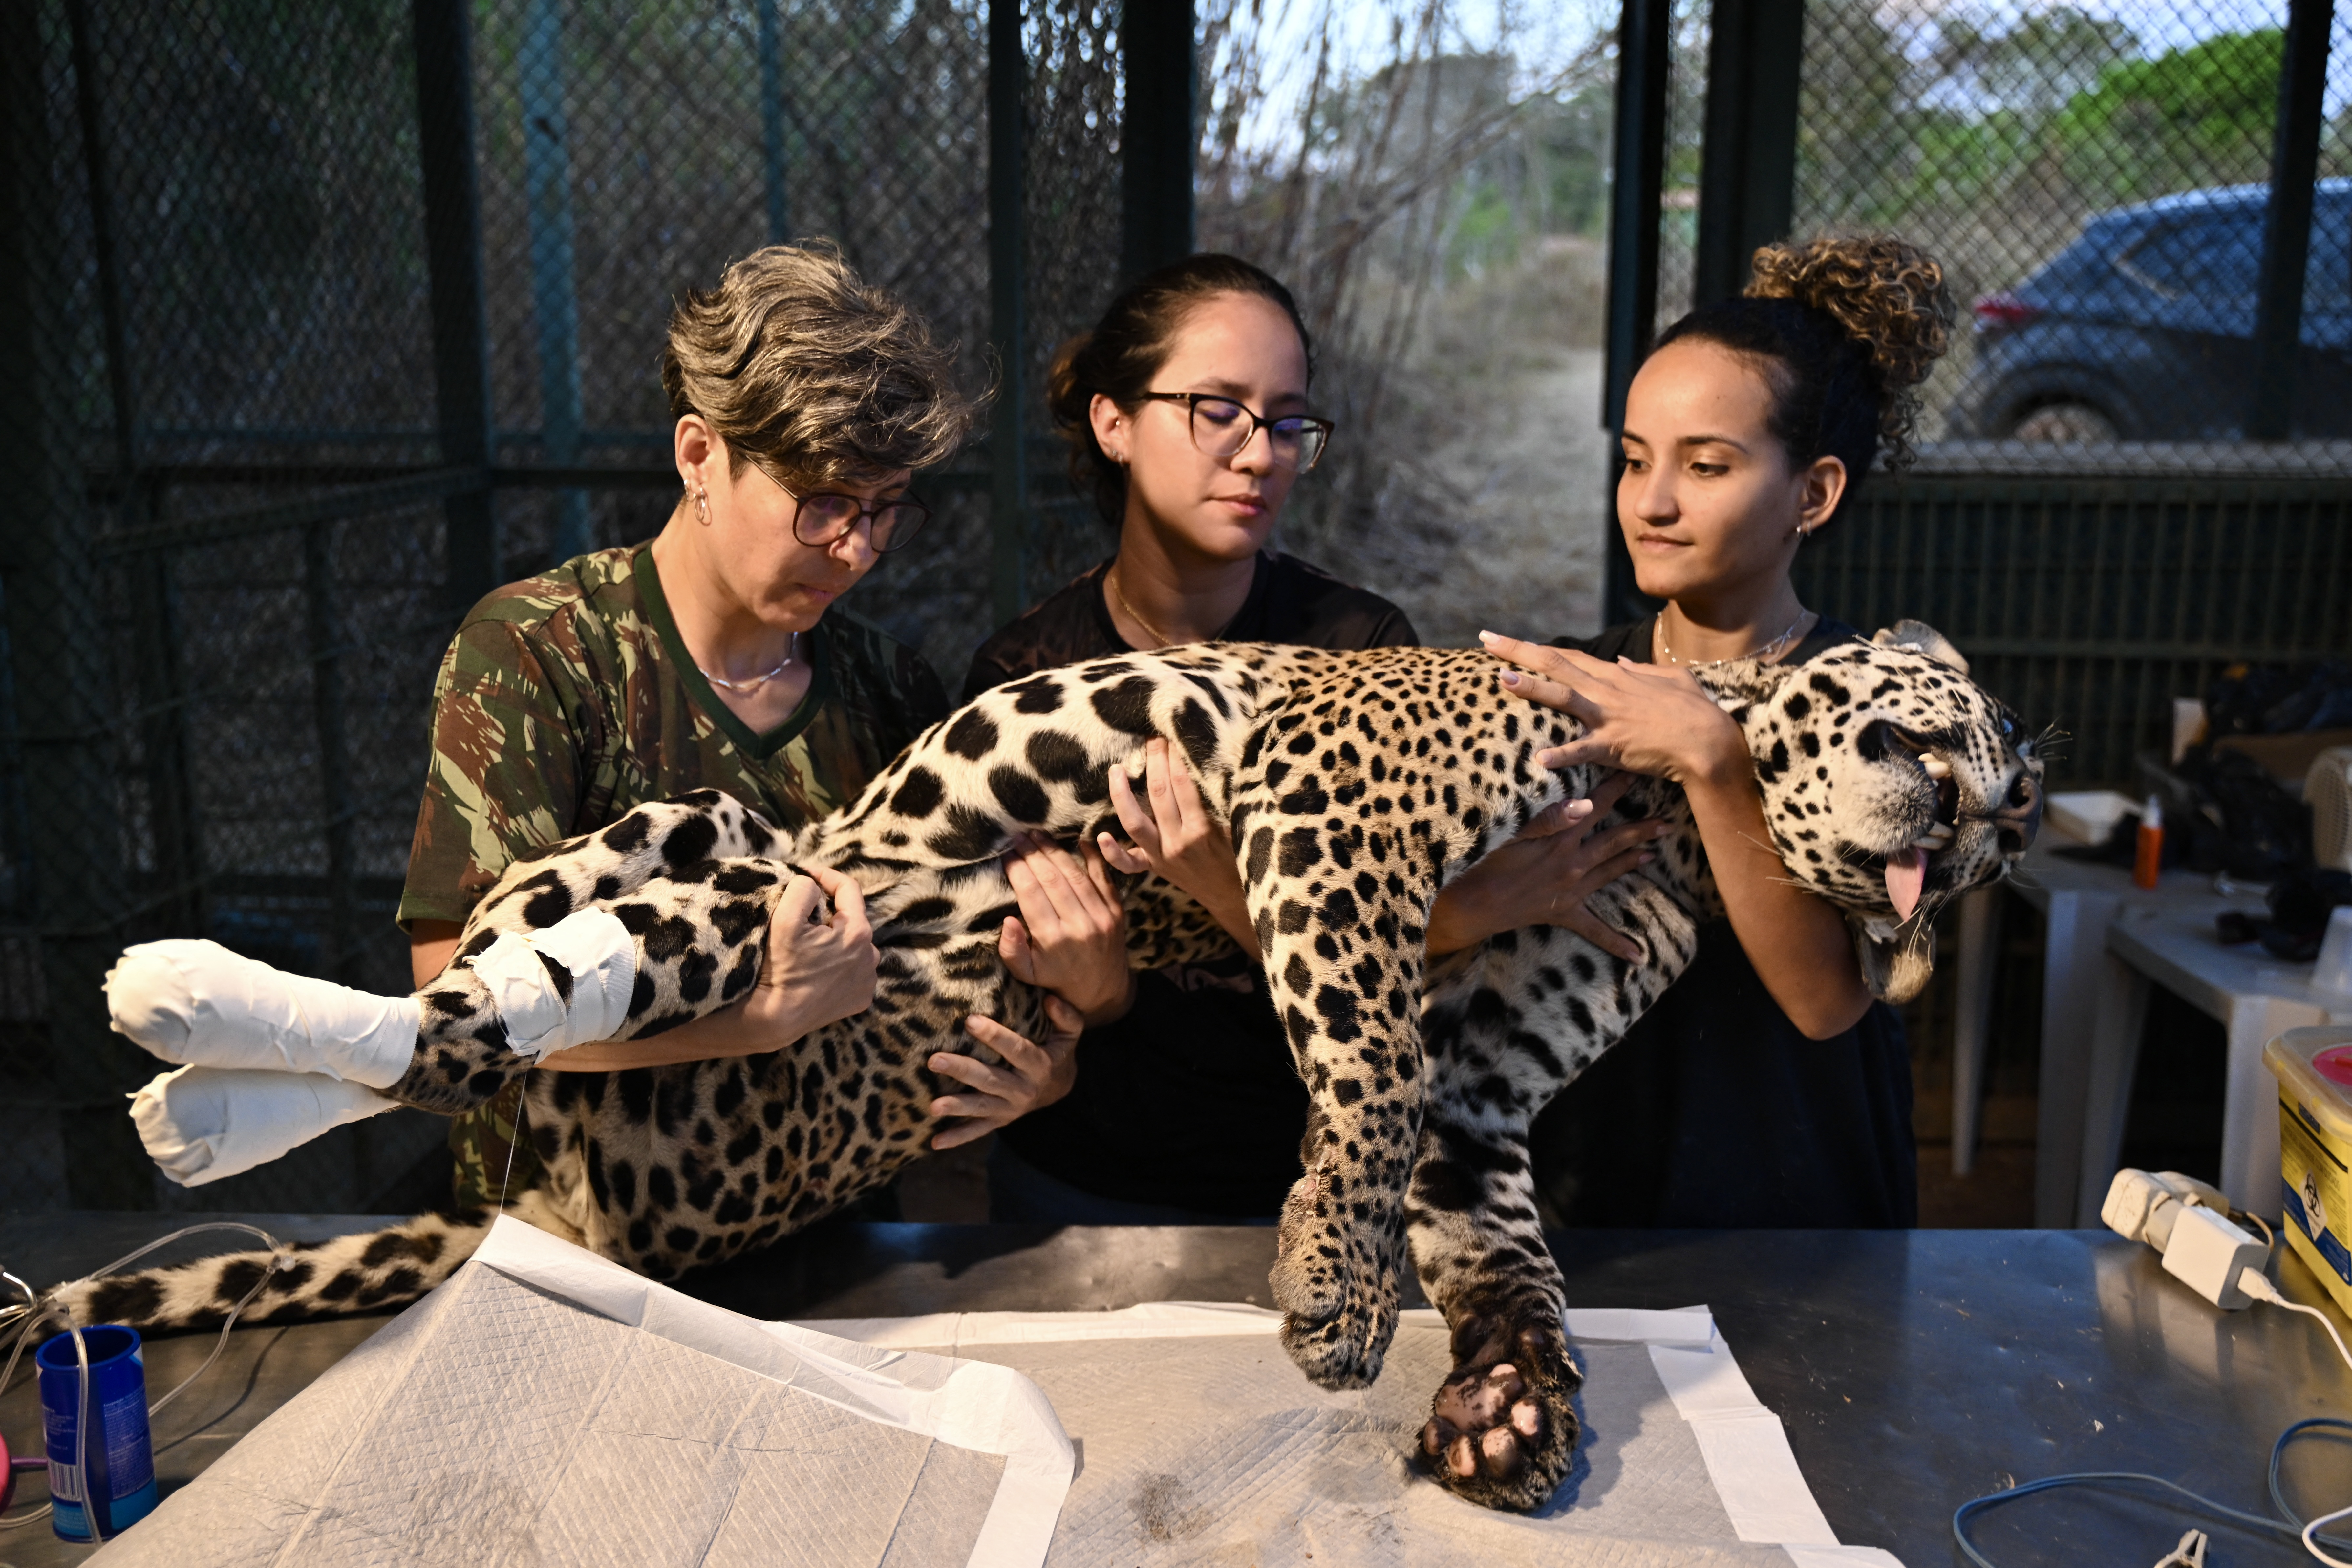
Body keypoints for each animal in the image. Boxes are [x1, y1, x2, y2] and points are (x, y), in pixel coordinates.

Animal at [49, 621, 2039, 1513]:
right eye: (1934, 749)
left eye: (1995, 818)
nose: (1963, 839)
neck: (1671, 814)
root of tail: (546, 1211)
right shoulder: (1338, 818)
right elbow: (1371, 1063)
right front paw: (1332, 1287)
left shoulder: (1480, 1083)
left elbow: (1492, 1234)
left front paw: (1501, 1400)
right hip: (723, 891)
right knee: (454, 1009)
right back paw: (186, 1029)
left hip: (739, 937)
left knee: (516, 994)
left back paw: (195, 1085)